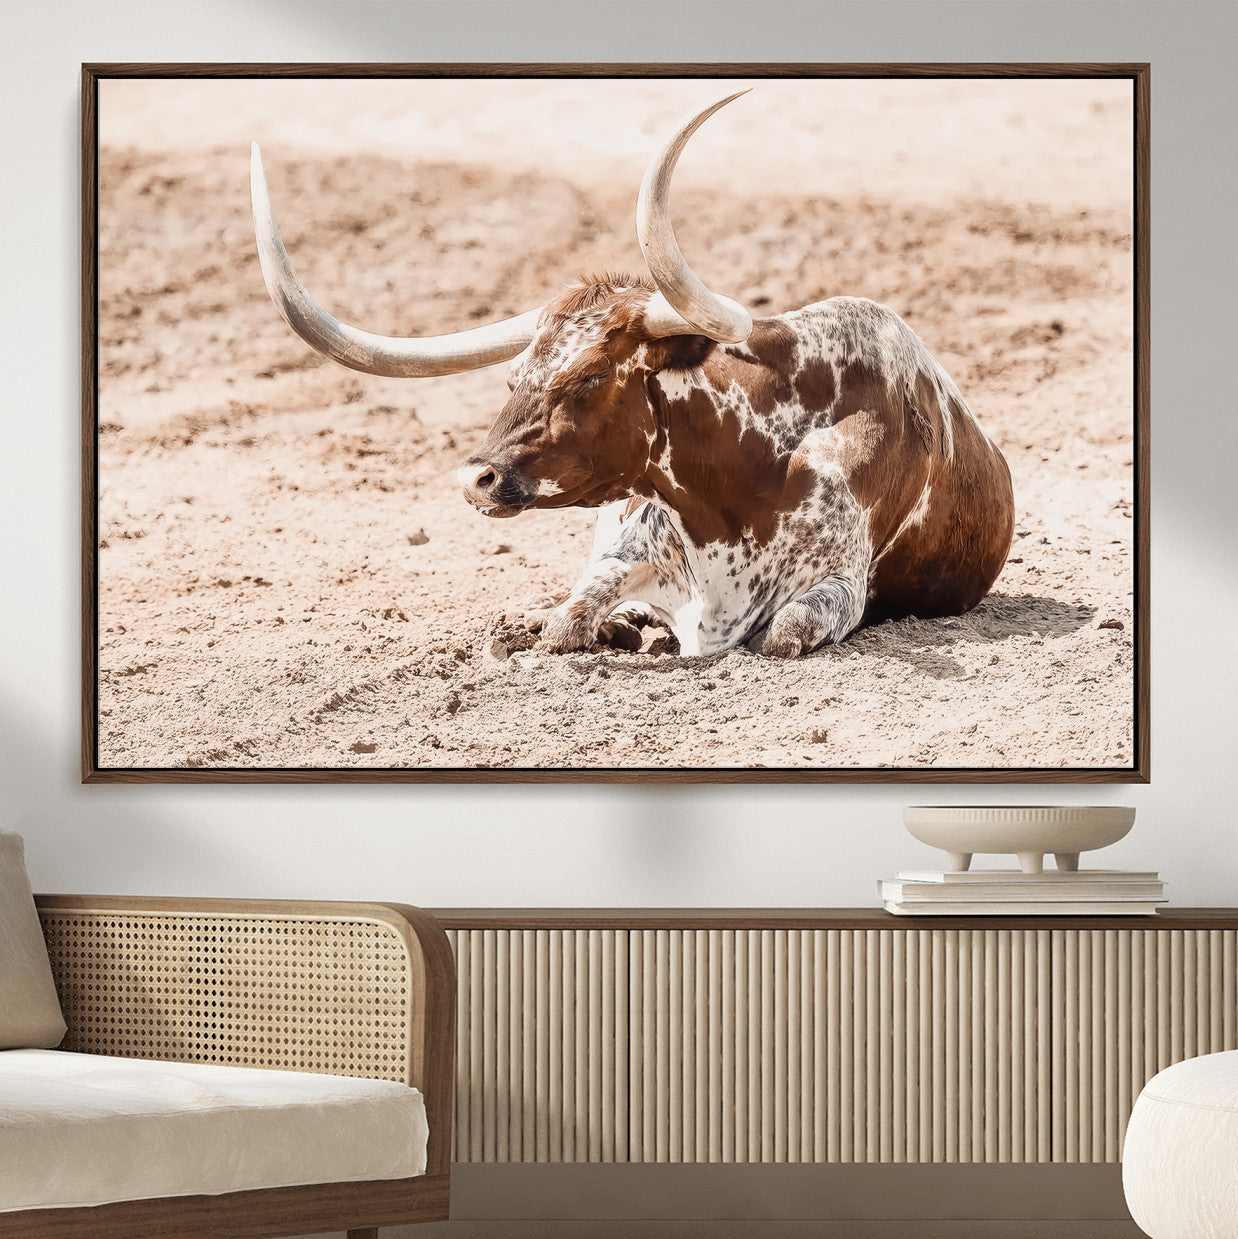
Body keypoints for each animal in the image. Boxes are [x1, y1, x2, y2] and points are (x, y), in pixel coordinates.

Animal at [251, 93, 1014, 658]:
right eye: (514, 376)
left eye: (589, 377)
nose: (477, 479)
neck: (742, 482)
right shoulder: (625, 547)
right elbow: (569, 618)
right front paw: (582, 625)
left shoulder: (839, 587)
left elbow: (782, 632)